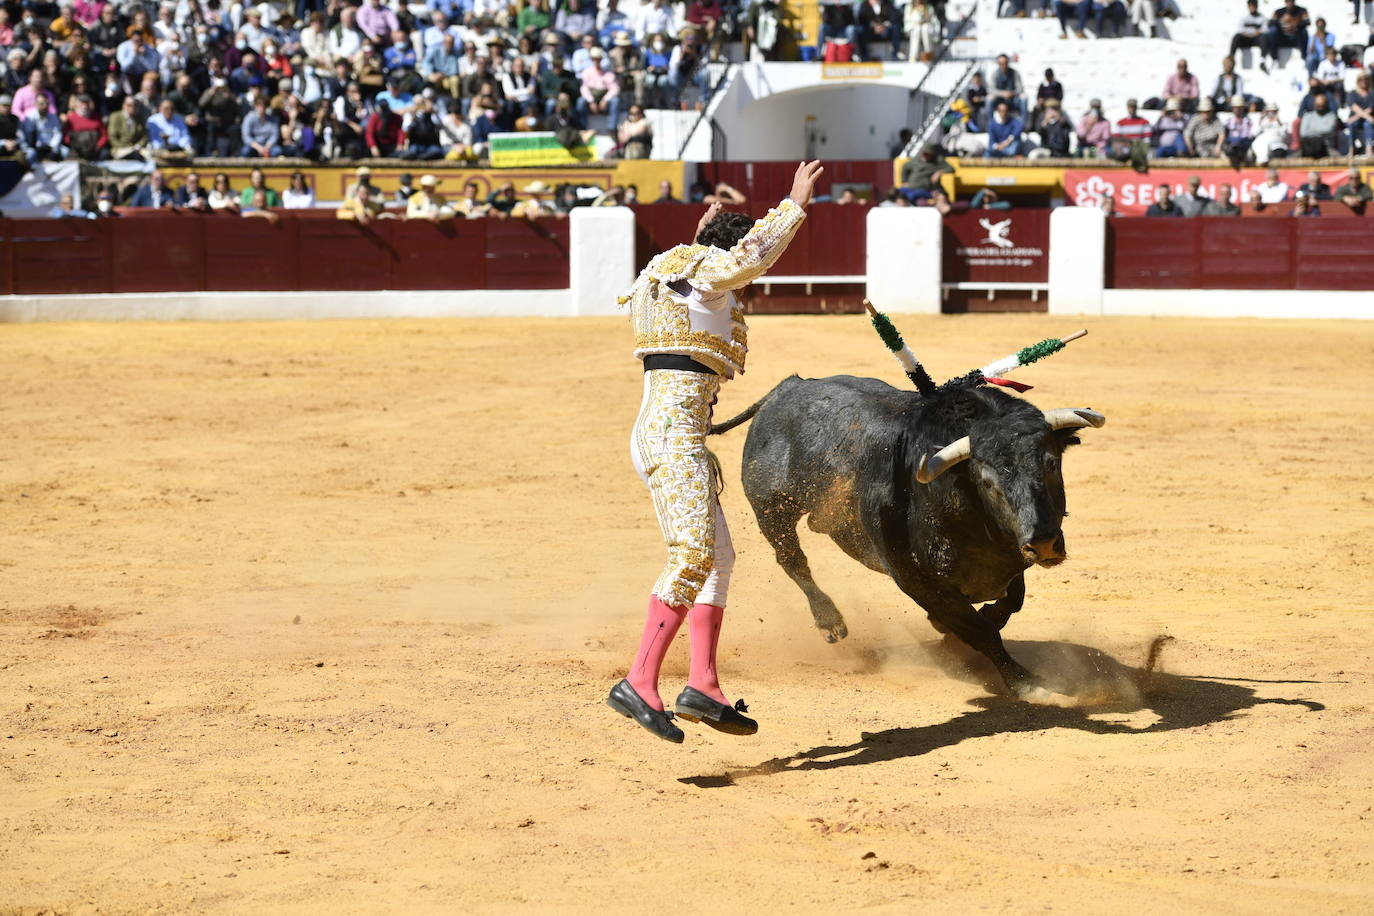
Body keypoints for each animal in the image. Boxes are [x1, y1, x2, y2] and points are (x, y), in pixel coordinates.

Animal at [708, 373, 1104, 703]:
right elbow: (982, 630)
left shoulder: (1012, 557)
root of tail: (787, 387)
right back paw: (830, 622)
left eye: (1050, 463)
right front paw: (1027, 683)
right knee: (792, 559)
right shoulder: (914, 579)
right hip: (772, 510)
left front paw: (954, 624)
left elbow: (1010, 603)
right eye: (988, 481)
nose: (1043, 542)